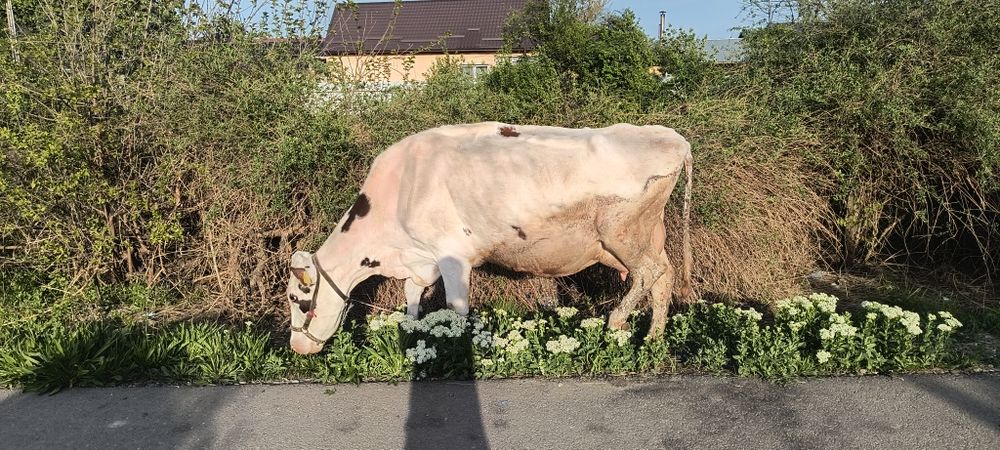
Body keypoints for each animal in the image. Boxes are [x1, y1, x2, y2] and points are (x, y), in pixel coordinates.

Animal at [285, 122, 692, 355]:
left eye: (299, 301)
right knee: (664, 275)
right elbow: (412, 298)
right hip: (644, 235)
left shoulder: (453, 256)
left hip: (621, 230)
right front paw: (411, 335)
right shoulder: (420, 258)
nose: (296, 347)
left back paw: (618, 321)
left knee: (649, 273)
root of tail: (674, 138)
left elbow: (457, 308)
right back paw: (654, 339)